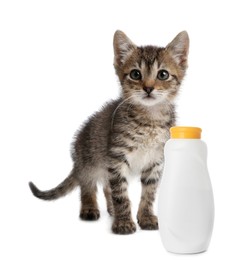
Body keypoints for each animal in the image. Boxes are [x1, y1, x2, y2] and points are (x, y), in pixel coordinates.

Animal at [29, 30, 190, 234]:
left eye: (163, 74)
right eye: (135, 74)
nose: (148, 88)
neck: (150, 119)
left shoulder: (155, 162)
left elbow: (149, 193)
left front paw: (145, 217)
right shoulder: (117, 157)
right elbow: (121, 194)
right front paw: (123, 222)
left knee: (106, 186)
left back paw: (111, 208)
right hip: (88, 160)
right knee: (88, 185)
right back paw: (90, 207)